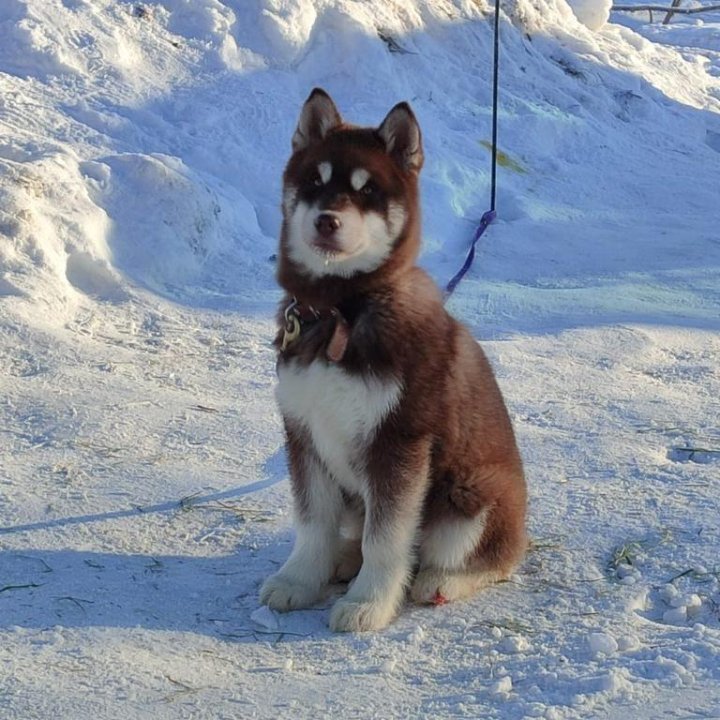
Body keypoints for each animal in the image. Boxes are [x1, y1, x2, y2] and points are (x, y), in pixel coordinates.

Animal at [260, 88, 528, 632]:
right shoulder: (303, 432)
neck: (341, 309)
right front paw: (301, 579)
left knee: (487, 557)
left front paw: (369, 603)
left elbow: (386, 539)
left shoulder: (399, 442)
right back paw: (343, 559)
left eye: (367, 191)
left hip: (471, 494)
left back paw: (440, 581)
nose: (327, 220)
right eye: (315, 181)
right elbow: (312, 522)